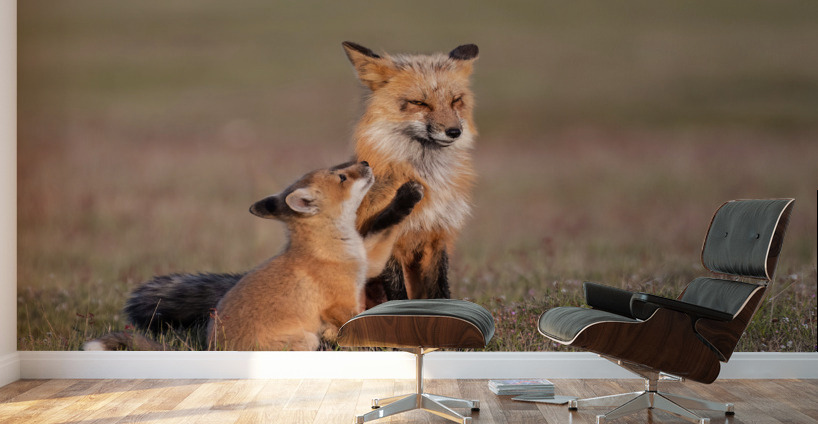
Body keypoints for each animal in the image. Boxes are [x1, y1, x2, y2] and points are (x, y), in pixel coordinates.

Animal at [84, 161, 423, 350]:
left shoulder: (368, 264)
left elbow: (388, 227)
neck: (332, 248)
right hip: (303, 341)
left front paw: (407, 197)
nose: (365, 162)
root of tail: (211, 351)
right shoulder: (341, 303)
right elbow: (358, 330)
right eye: (341, 177)